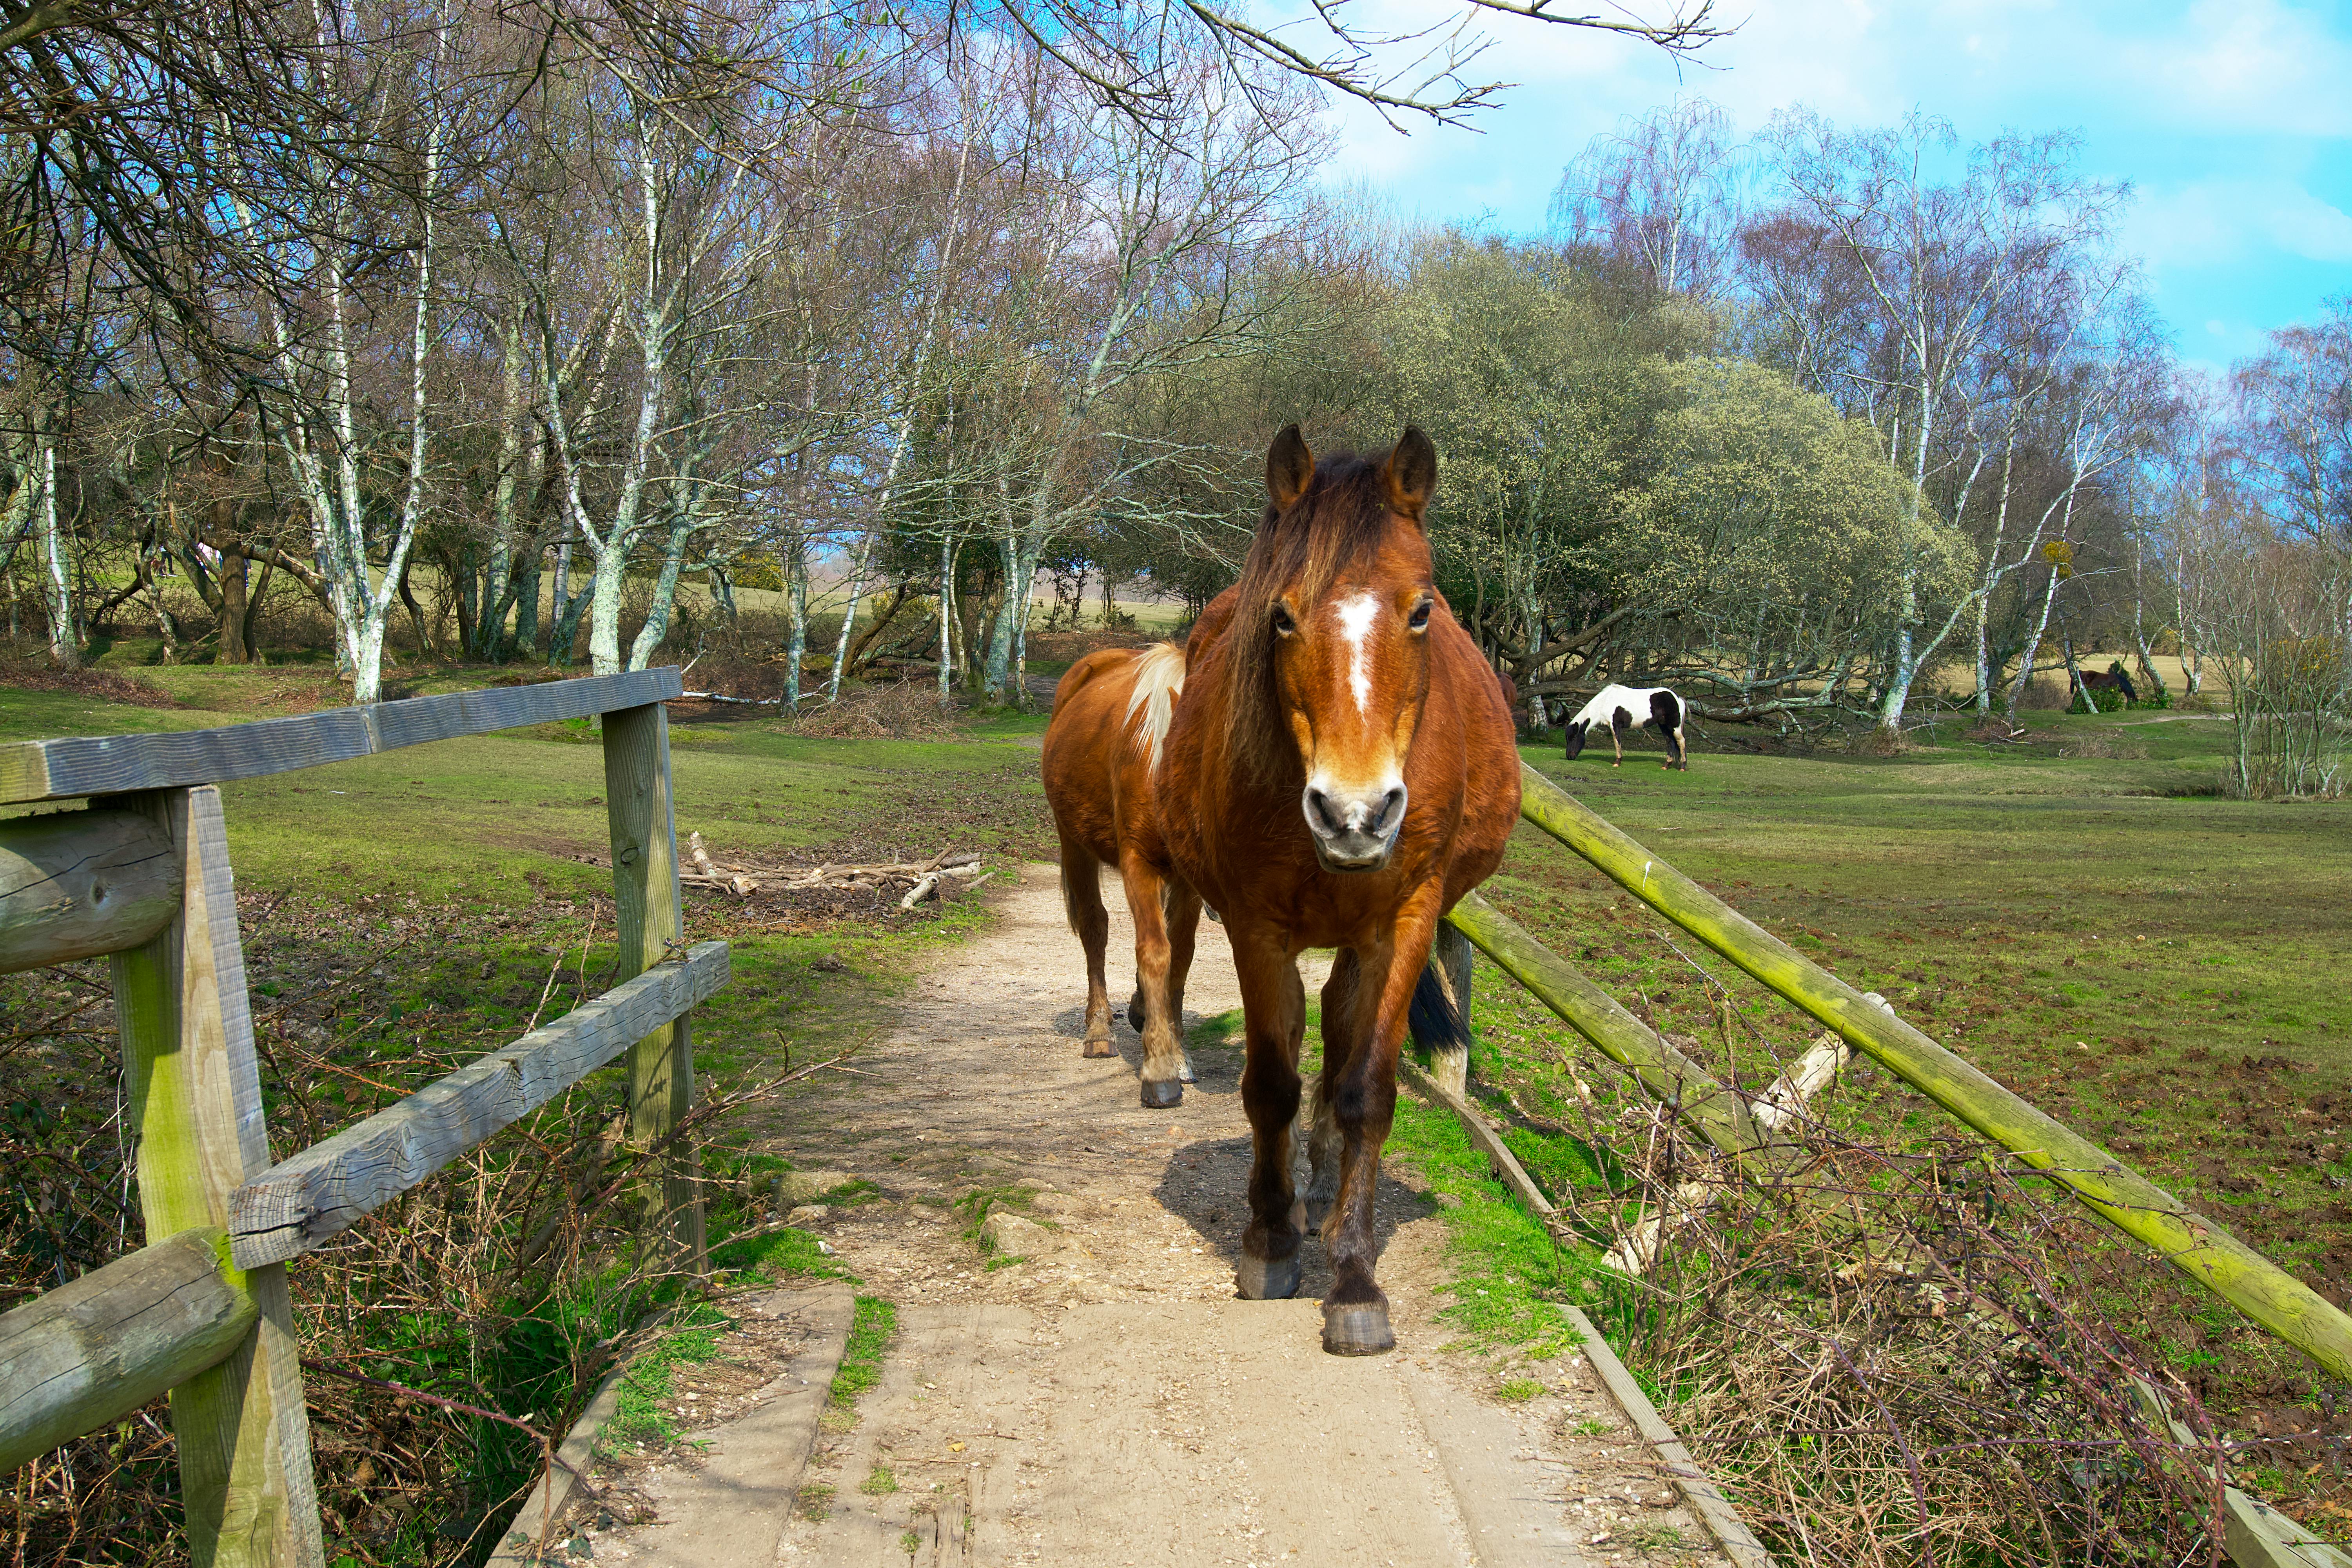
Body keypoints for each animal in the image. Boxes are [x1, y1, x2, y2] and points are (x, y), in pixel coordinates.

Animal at [1040, 644, 1204, 1109]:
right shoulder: (1138, 865)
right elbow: (1155, 951)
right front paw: (1160, 1070)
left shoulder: (1189, 880)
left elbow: (1181, 954)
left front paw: (1177, 1052)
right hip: (1074, 844)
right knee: (1095, 927)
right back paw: (1099, 1030)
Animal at [1162, 423, 1524, 1354]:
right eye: (1283, 615)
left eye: (1421, 610)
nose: (1354, 813)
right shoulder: (1255, 926)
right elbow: (1270, 1083)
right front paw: (1270, 1242)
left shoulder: (1404, 922)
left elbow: (1366, 1090)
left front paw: (1356, 1280)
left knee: (1339, 1023)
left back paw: (1326, 1184)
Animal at [1571, 682, 1684, 771]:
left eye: (1574, 737)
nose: (1570, 757)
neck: (1606, 701)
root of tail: (1679, 699)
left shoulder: (1615, 726)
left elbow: (1617, 743)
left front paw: (1617, 763)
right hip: (1664, 726)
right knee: (1670, 742)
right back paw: (1666, 766)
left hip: (1674, 727)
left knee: (1681, 742)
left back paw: (1682, 767)